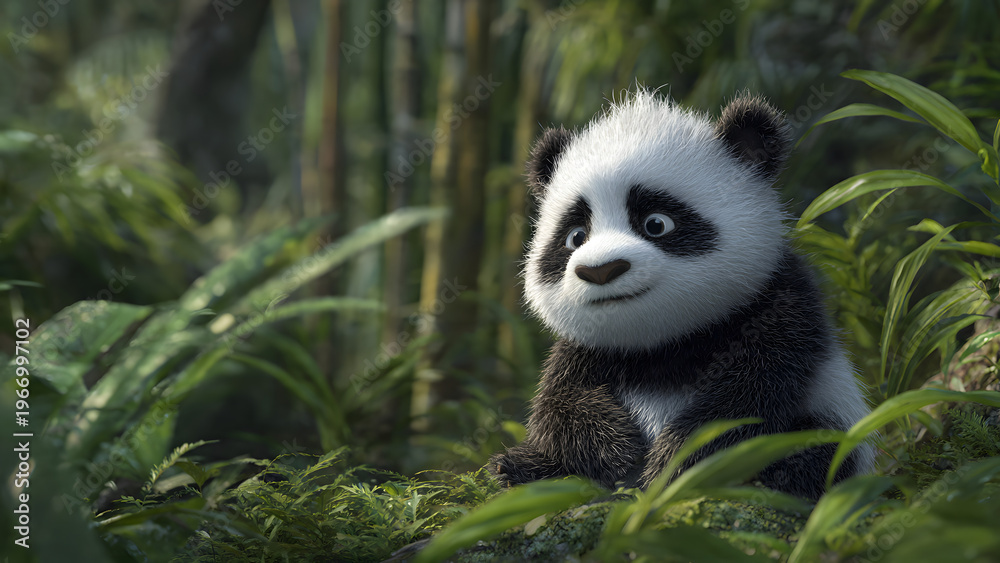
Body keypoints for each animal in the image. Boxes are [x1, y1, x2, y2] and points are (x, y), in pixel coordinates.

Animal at [488, 90, 875, 500]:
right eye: (576, 237)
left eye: (656, 224)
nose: (600, 270)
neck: (662, 343)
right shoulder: (588, 350)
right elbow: (557, 399)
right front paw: (616, 451)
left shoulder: (779, 304)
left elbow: (747, 396)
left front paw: (673, 463)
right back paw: (520, 468)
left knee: (816, 452)